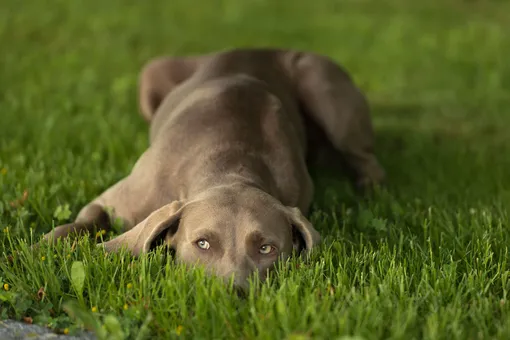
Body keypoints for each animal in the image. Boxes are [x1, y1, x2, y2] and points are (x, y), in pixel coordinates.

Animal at [43, 47, 384, 286]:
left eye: (266, 249)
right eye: (202, 244)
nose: (233, 292)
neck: (229, 164)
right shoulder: (113, 200)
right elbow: (73, 226)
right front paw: (40, 248)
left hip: (326, 92)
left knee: (367, 160)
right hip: (152, 74)